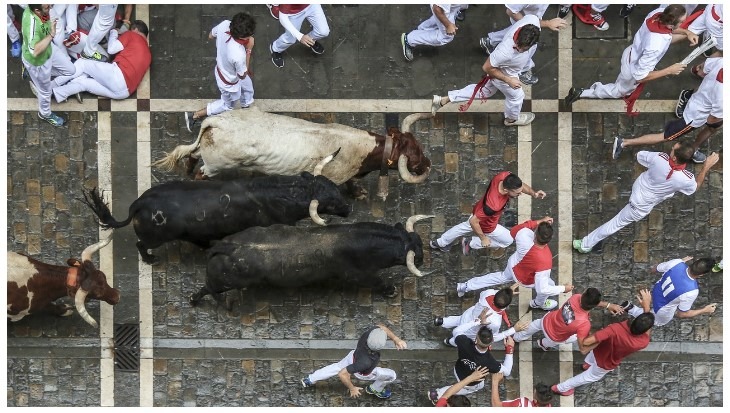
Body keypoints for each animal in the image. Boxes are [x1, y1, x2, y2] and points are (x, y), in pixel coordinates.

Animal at [80, 153, 352, 265]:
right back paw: (150, 259)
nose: (348, 209)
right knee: (140, 244)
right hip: (155, 237)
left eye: (334, 188)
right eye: (329, 202)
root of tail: (140, 203)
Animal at [151, 107, 432, 198]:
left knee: (192, 156)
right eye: (414, 156)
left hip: (206, 153)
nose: (428, 163)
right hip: (216, 165)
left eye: (419, 146)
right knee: (201, 173)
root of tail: (215, 122)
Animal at [189, 215, 434, 305]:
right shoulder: (359, 275)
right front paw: (391, 290)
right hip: (224, 282)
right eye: (417, 253)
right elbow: (378, 282)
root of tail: (225, 246)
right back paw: (194, 299)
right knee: (206, 288)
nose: (423, 259)